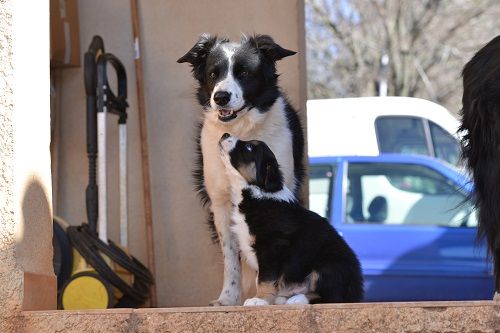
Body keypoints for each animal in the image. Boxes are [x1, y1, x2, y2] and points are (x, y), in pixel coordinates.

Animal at [179, 35, 304, 304]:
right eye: (213, 74)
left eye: (244, 73)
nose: (221, 97)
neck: (241, 130)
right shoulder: (221, 203)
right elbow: (231, 257)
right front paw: (227, 298)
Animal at [219, 133, 364, 304]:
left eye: (249, 148)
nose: (225, 134)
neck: (256, 191)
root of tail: (356, 291)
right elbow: (259, 278)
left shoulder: (272, 246)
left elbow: (265, 278)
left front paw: (259, 300)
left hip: (329, 266)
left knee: (332, 297)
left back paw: (296, 299)